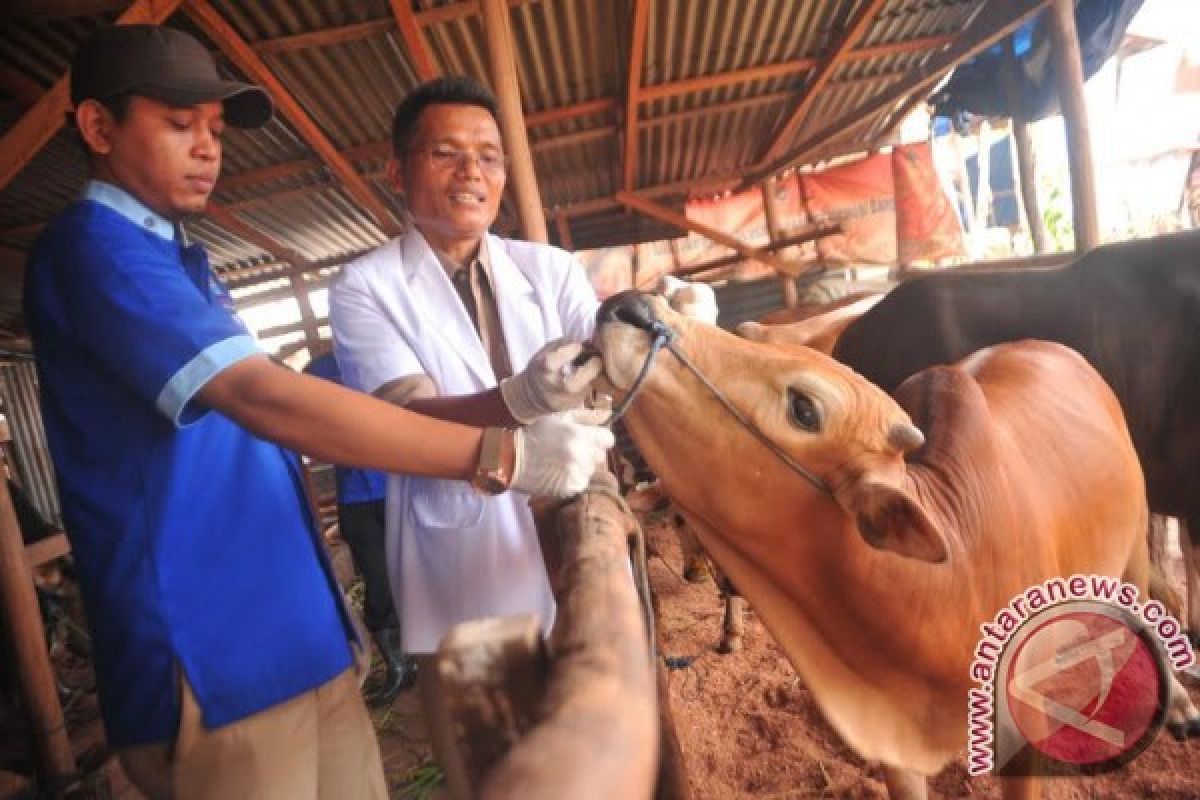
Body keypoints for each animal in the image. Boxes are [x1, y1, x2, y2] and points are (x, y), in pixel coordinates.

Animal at [595, 291, 1195, 796]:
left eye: (805, 408)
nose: (628, 304)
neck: (942, 580)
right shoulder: (896, 749)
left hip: (1136, 541)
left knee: (1146, 609)